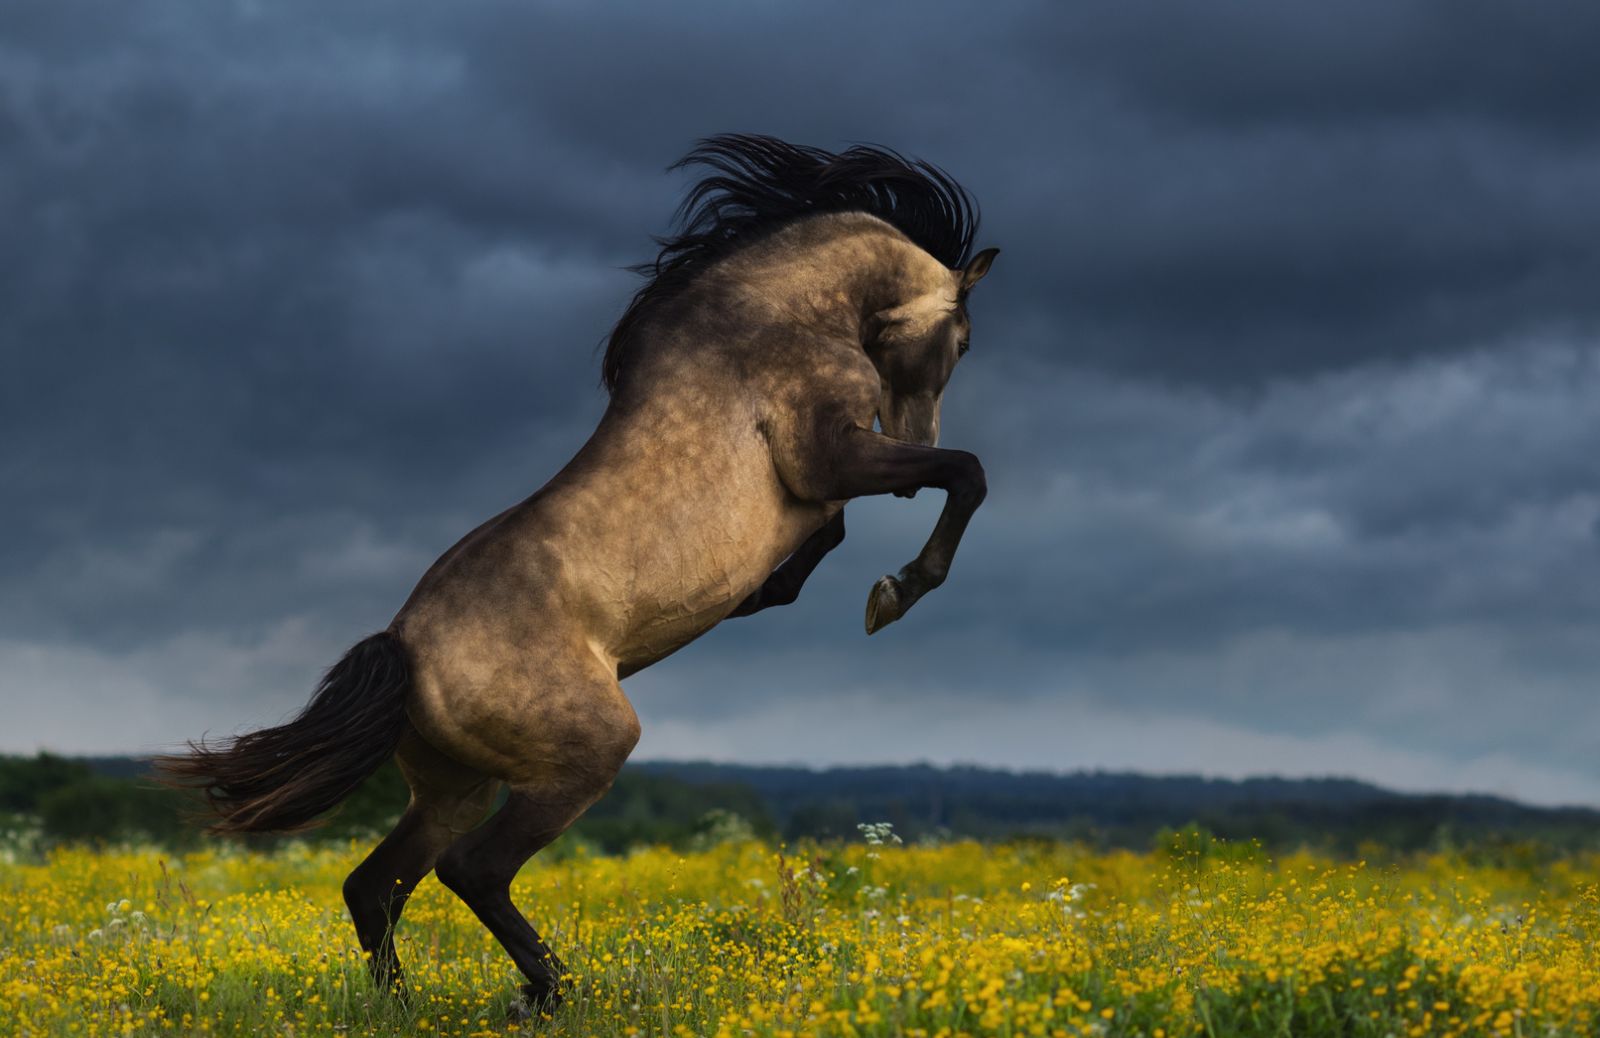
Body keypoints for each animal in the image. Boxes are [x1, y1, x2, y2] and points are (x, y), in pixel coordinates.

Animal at [152, 131, 998, 1010]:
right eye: (964, 341)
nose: (917, 433)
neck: (778, 318)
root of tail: (404, 647)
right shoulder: (829, 456)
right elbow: (964, 475)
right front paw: (896, 591)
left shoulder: (823, 482)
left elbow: (834, 534)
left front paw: (779, 594)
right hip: (582, 757)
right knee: (471, 870)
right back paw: (551, 993)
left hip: (455, 788)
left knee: (377, 884)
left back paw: (412, 1003)